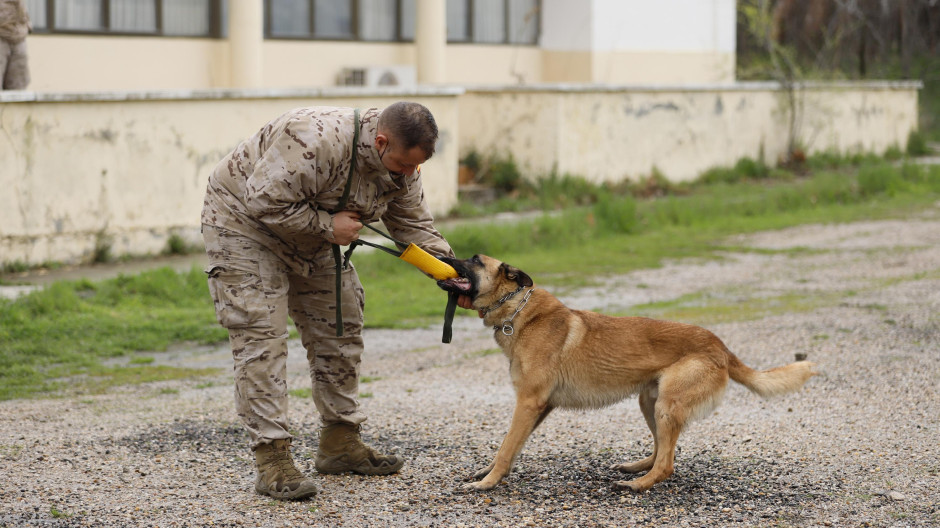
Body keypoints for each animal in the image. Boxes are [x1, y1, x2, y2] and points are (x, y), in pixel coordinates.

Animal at [438, 254, 816, 492]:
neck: (519, 310)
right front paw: (489, 473)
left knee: (667, 463)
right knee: (663, 450)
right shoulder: (538, 407)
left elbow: (506, 447)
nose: (443, 258)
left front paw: (486, 484)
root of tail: (720, 345)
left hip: (666, 405)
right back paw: (636, 469)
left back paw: (637, 485)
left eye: (474, 260)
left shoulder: (529, 403)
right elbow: (510, 447)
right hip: (650, 402)